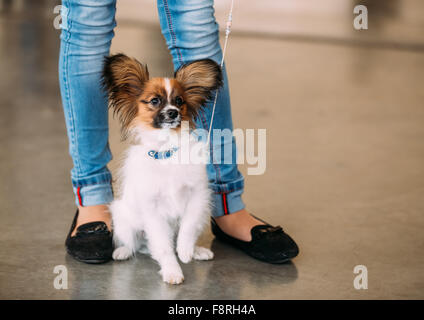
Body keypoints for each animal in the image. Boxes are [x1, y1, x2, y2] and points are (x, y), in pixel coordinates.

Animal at [103, 53, 224, 284]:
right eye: (155, 101)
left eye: (179, 101)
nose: (173, 112)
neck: (167, 151)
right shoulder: (153, 210)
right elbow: (164, 247)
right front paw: (172, 271)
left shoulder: (197, 196)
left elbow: (188, 226)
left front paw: (185, 251)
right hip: (123, 217)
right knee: (134, 243)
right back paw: (123, 251)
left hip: (205, 210)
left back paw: (197, 251)